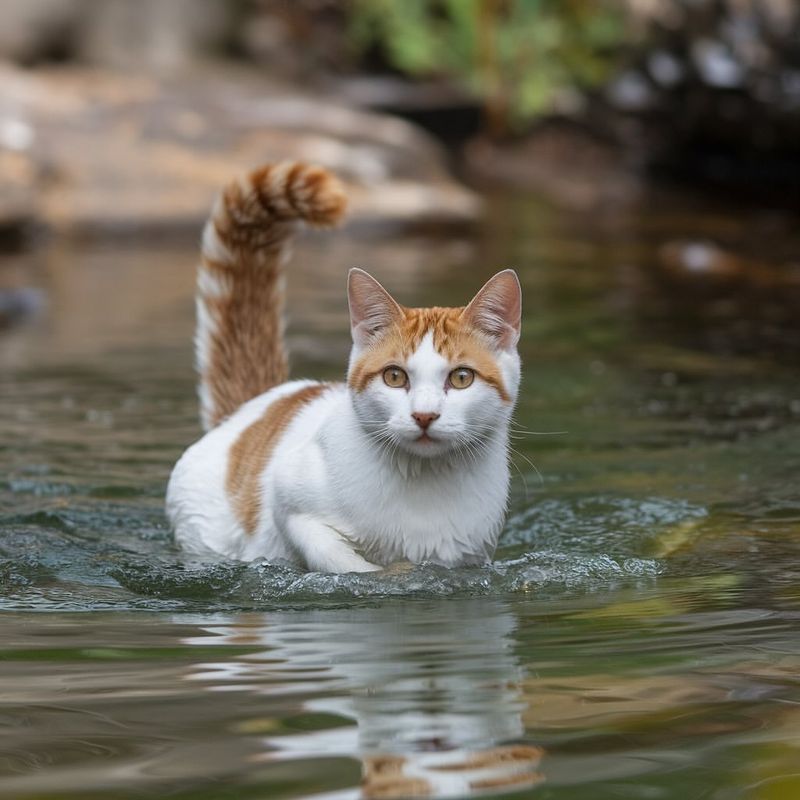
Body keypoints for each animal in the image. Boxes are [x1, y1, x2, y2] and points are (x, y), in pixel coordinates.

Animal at [166, 159, 520, 572]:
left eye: (461, 377)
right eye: (395, 377)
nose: (424, 416)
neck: (424, 481)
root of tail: (258, 402)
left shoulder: (470, 556)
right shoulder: (290, 501)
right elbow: (343, 561)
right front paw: (380, 574)